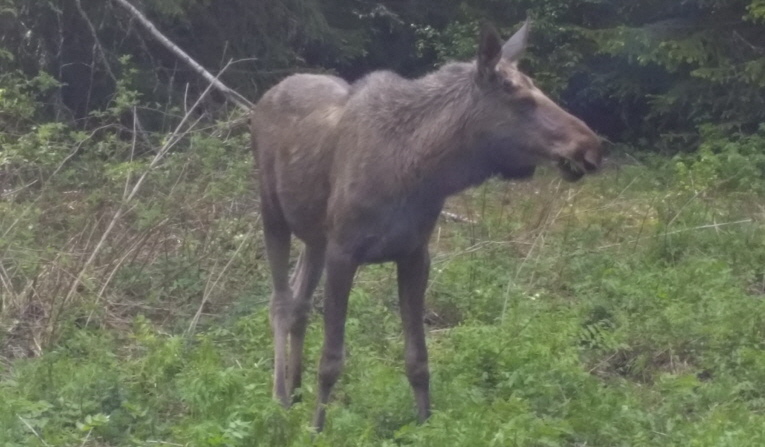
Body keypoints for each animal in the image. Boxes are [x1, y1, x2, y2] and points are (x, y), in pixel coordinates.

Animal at [252, 20, 604, 430]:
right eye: (521, 99)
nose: (591, 146)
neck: (421, 171)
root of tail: (266, 96)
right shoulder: (345, 252)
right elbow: (331, 360)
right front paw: (317, 428)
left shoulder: (415, 253)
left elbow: (418, 360)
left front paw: (425, 424)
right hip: (273, 212)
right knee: (280, 301)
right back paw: (279, 399)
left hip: (315, 238)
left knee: (300, 302)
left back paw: (294, 391)